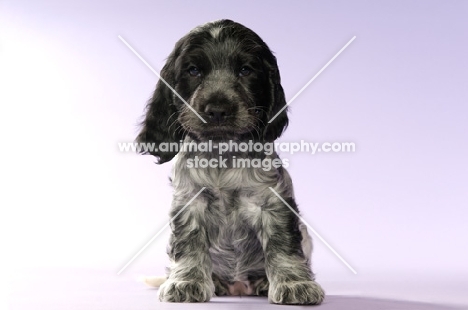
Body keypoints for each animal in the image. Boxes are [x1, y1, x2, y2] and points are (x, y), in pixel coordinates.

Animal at [137, 20, 324, 306]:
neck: (222, 156)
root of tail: (239, 287)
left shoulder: (273, 202)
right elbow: (189, 243)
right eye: (193, 71)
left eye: (245, 70)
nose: (217, 110)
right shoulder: (189, 202)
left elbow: (284, 245)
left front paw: (295, 284)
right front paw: (186, 282)